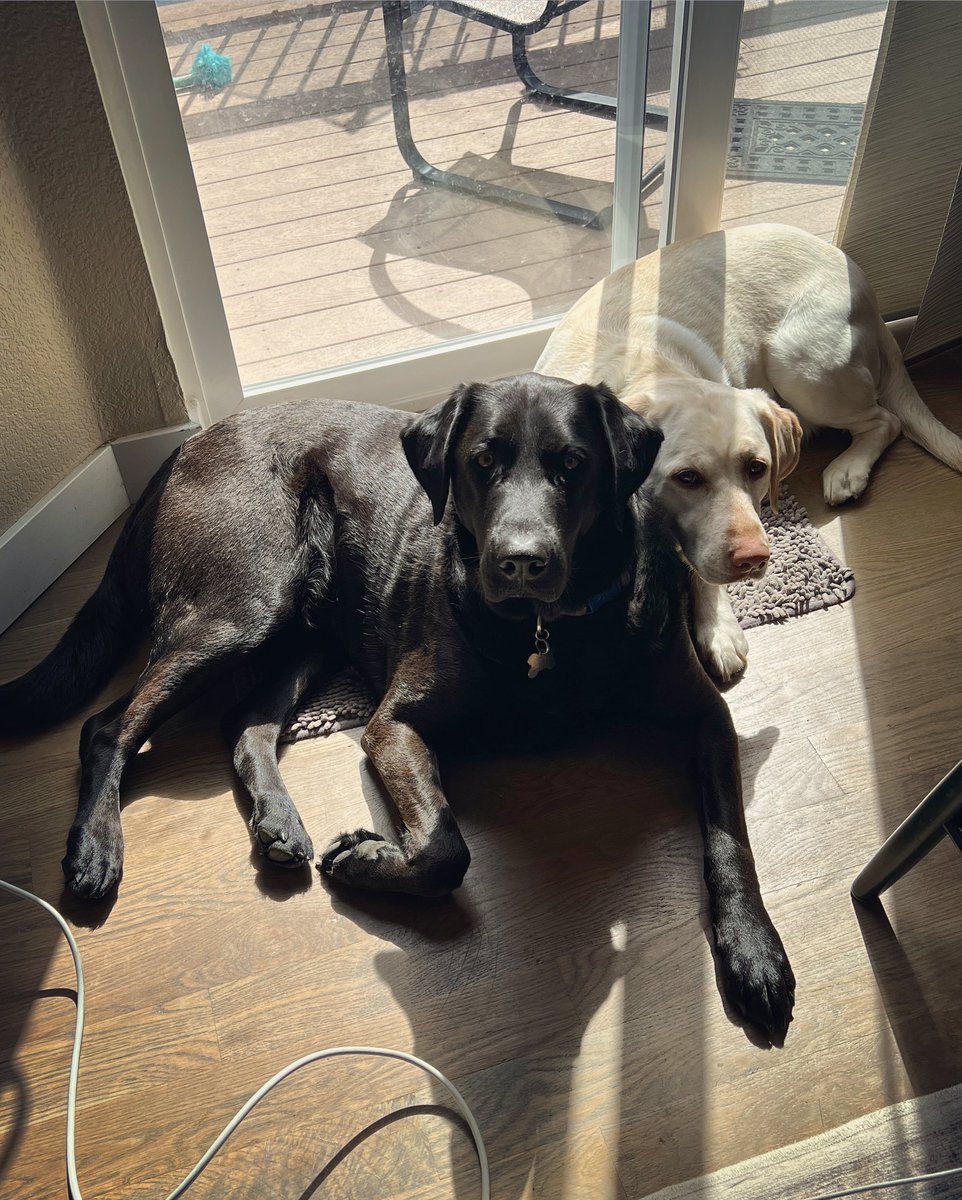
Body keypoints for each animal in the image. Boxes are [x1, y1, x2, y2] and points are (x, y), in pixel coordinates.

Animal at [0, 372, 796, 1041]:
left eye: (573, 464)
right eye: (482, 461)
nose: (520, 561)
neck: (548, 631)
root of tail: (186, 447)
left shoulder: (705, 718)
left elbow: (732, 838)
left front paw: (755, 952)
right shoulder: (394, 724)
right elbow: (445, 849)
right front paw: (367, 858)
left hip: (305, 632)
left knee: (244, 725)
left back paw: (278, 822)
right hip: (244, 606)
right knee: (108, 726)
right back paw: (96, 848)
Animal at [534, 220, 954, 681]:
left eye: (757, 468)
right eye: (687, 477)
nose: (754, 558)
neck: (642, 369)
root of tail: (869, 293)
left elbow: (701, 572)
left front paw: (718, 628)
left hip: (799, 365)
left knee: (885, 419)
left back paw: (848, 470)